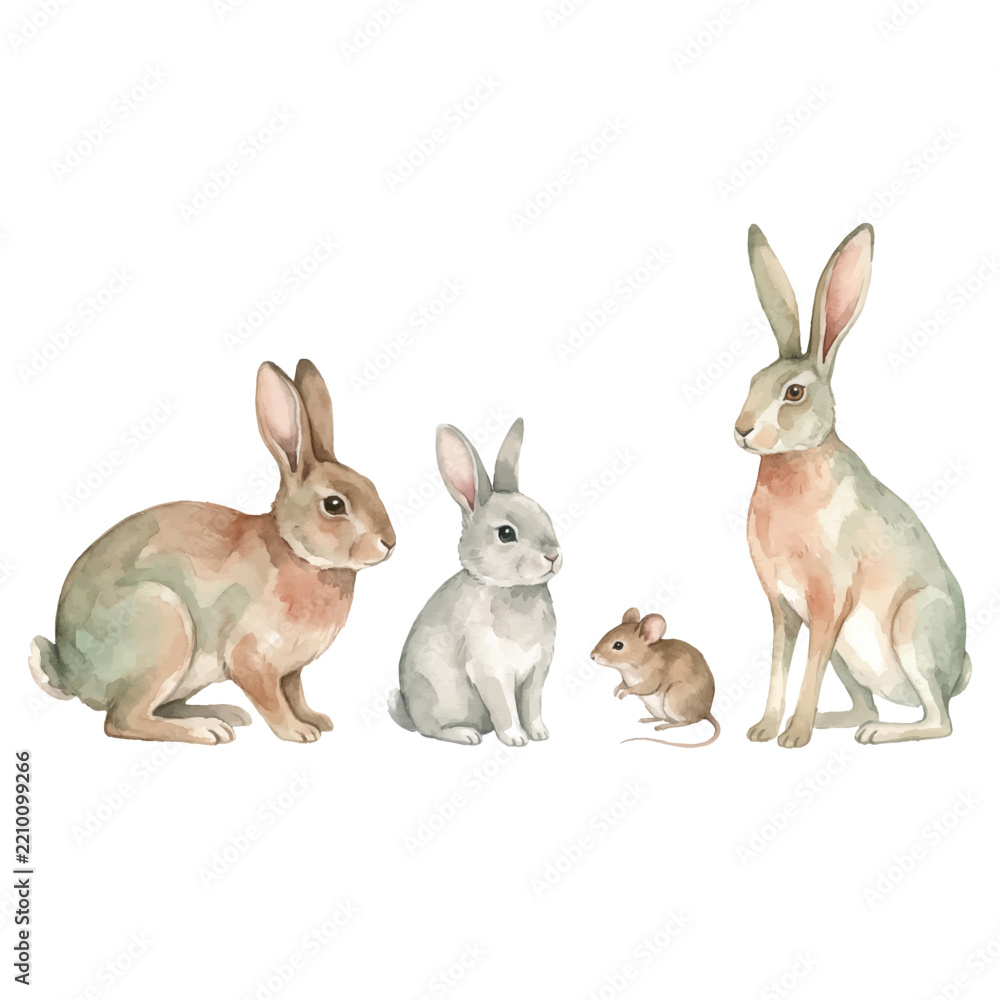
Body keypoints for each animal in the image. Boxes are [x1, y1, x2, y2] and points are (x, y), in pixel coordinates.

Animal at [29, 359, 395, 744]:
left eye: (371, 485)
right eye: (334, 505)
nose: (390, 543)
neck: (295, 552)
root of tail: (72, 674)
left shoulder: (291, 670)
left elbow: (295, 693)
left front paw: (316, 719)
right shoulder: (251, 659)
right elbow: (273, 701)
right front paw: (299, 732)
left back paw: (222, 713)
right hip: (163, 629)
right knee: (122, 720)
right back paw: (206, 730)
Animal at [388, 419, 561, 746]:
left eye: (546, 516)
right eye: (506, 534)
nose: (553, 555)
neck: (510, 589)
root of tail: (408, 712)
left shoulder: (537, 671)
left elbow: (532, 705)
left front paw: (540, 734)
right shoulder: (489, 671)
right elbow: (505, 709)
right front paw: (516, 739)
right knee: (432, 730)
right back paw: (466, 735)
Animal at [735, 223, 971, 748]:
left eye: (794, 393)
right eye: (752, 380)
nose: (741, 430)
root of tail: (960, 672)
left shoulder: (830, 600)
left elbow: (807, 668)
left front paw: (793, 737)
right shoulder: (783, 608)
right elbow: (781, 666)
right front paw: (764, 729)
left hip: (914, 627)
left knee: (939, 721)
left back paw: (875, 733)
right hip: (851, 660)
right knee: (866, 701)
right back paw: (837, 721)